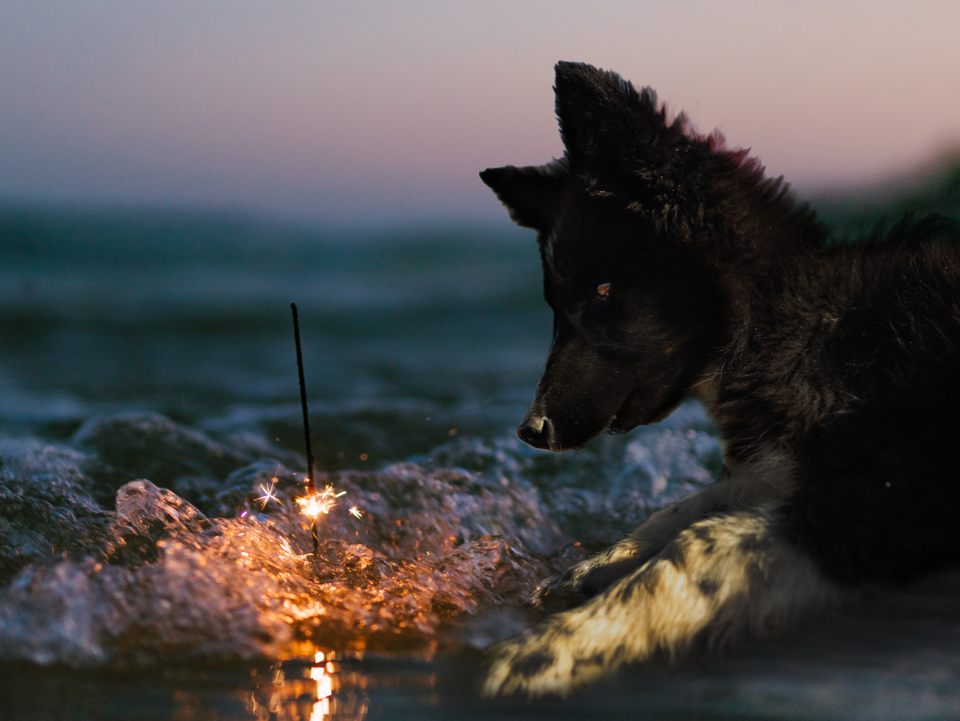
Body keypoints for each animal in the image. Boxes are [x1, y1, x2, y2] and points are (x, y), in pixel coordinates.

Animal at [478, 62, 960, 696]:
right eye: (552, 305)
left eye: (603, 292)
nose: (531, 431)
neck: (791, 325)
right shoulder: (783, 461)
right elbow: (692, 503)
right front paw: (590, 571)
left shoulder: (897, 488)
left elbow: (697, 546)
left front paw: (550, 648)